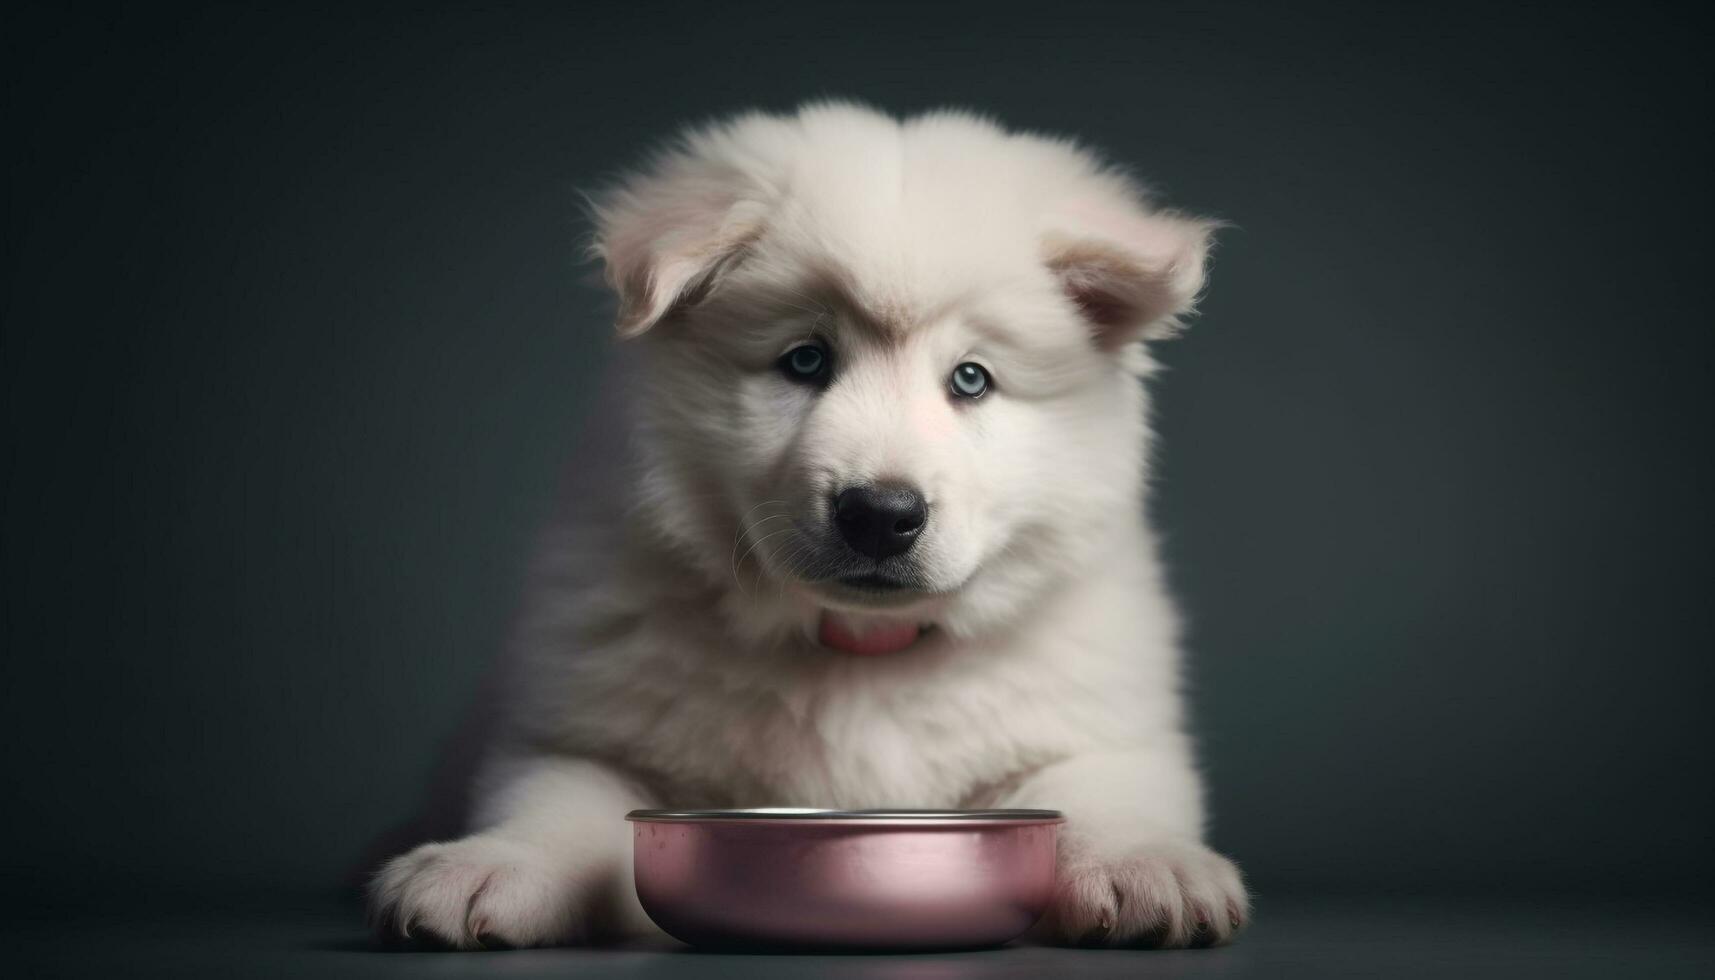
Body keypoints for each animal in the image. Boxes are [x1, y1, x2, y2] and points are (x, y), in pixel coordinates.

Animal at [372, 101, 1248, 954]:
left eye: (971, 380)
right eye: (804, 360)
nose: (881, 515)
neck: (860, 651)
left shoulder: (1099, 733)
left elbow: (1095, 795)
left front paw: (1146, 865)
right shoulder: (577, 735)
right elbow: (554, 802)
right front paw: (487, 865)